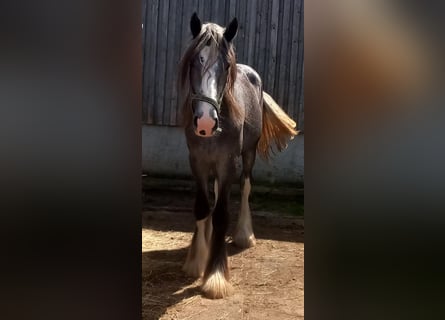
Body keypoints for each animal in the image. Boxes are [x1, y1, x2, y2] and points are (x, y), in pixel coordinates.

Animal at [177, 11, 298, 298]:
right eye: (194, 62)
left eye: (225, 67)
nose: (205, 122)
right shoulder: (197, 161)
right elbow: (203, 207)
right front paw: (197, 260)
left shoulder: (228, 161)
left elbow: (222, 213)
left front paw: (215, 277)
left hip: (248, 155)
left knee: (244, 187)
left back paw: (244, 235)